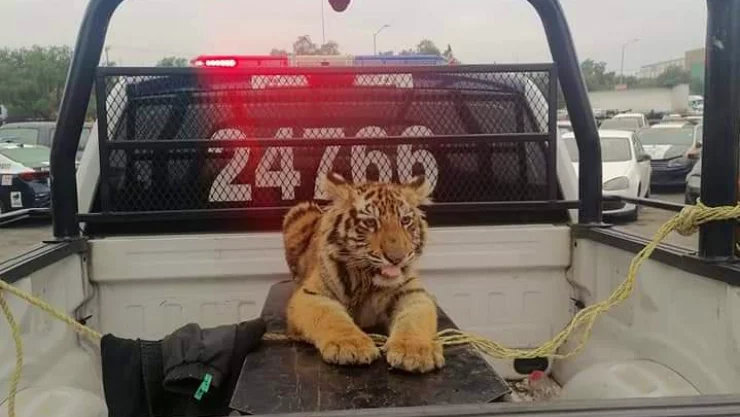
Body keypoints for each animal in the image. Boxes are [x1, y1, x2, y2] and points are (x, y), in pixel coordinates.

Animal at [281, 172, 444, 373]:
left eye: (405, 221)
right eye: (370, 222)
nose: (397, 258)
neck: (368, 280)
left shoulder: (413, 295)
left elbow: (413, 320)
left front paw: (414, 351)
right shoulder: (311, 295)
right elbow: (332, 317)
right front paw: (351, 346)